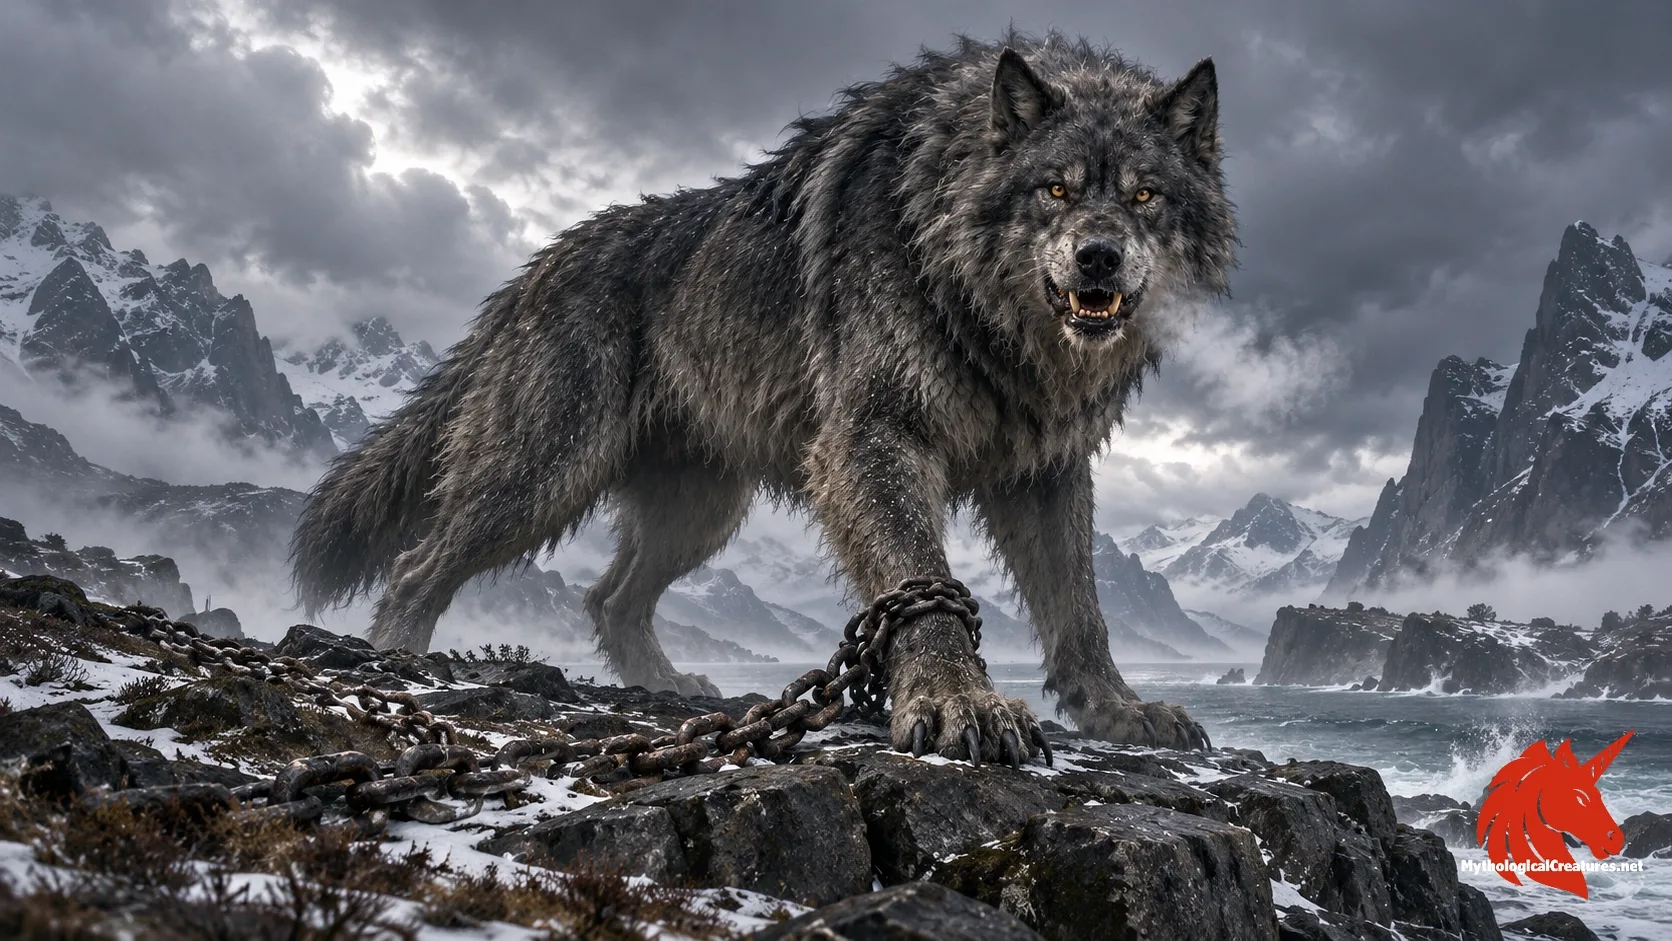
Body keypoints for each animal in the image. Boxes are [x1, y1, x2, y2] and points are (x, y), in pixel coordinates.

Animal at [291, 32, 1236, 763]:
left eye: (1144, 195)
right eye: (1057, 189)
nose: (1099, 258)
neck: (975, 299)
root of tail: (529, 274)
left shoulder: (1046, 472)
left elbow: (1081, 610)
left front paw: (1118, 709)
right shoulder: (872, 440)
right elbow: (924, 583)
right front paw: (958, 701)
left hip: (702, 512)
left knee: (609, 598)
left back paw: (669, 688)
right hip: (542, 479)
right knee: (421, 564)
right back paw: (398, 659)